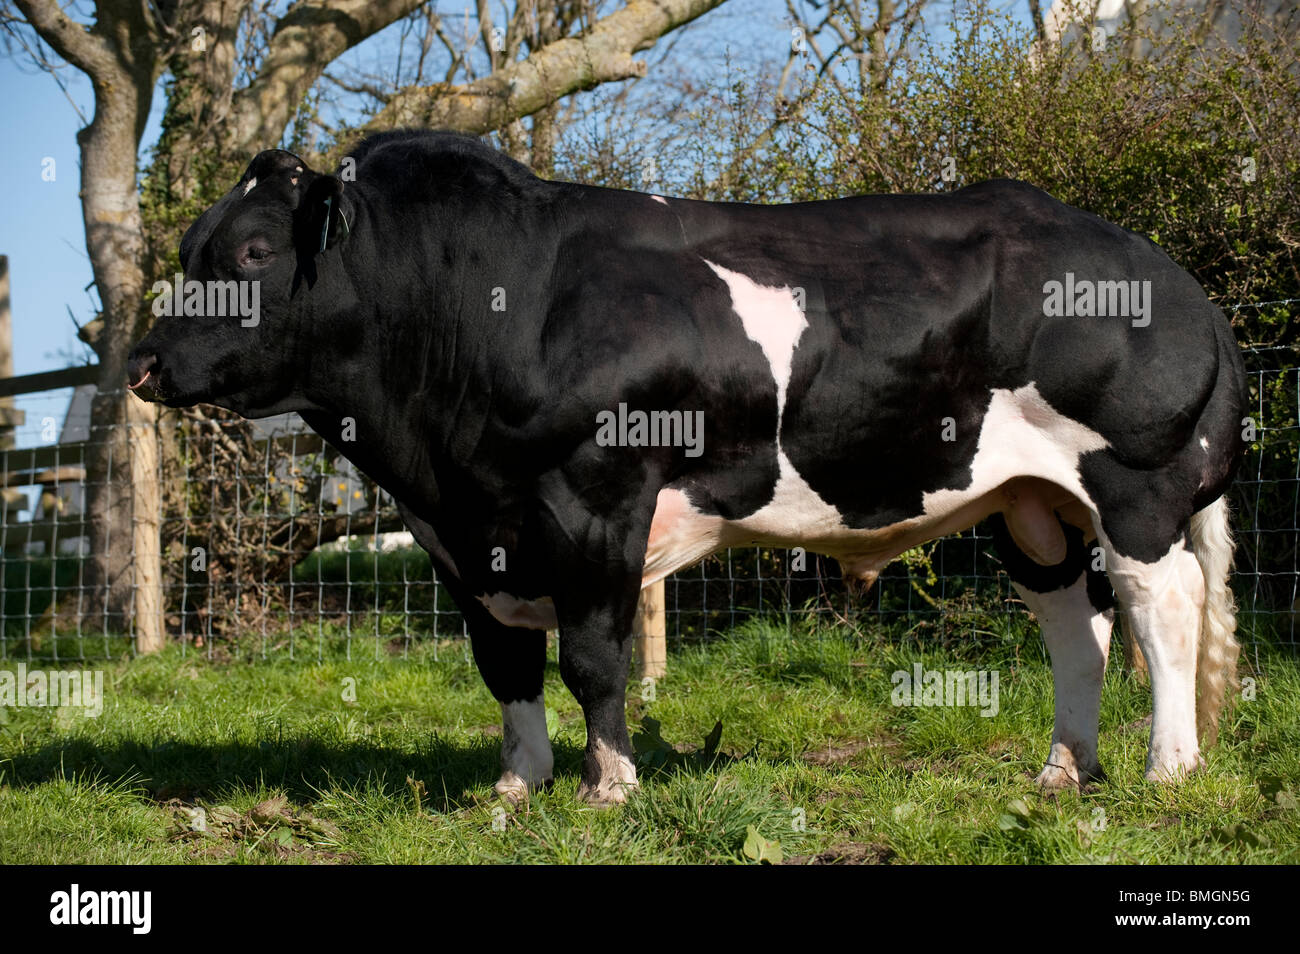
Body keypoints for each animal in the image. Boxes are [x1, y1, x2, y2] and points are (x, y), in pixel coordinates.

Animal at [129, 130, 1248, 805]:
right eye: (193, 249)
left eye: (254, 253)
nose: (141, 360)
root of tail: (1162, 269)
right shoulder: (469, 536)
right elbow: (504, 663)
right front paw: (516, 787)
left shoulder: (591, 498)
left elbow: (591, 658)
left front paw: (607, 787)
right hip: (1026, 502)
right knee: (1075, 622)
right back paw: (1064, 769)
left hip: (1136, 479)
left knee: (1162, 603)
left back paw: (1168, 767)